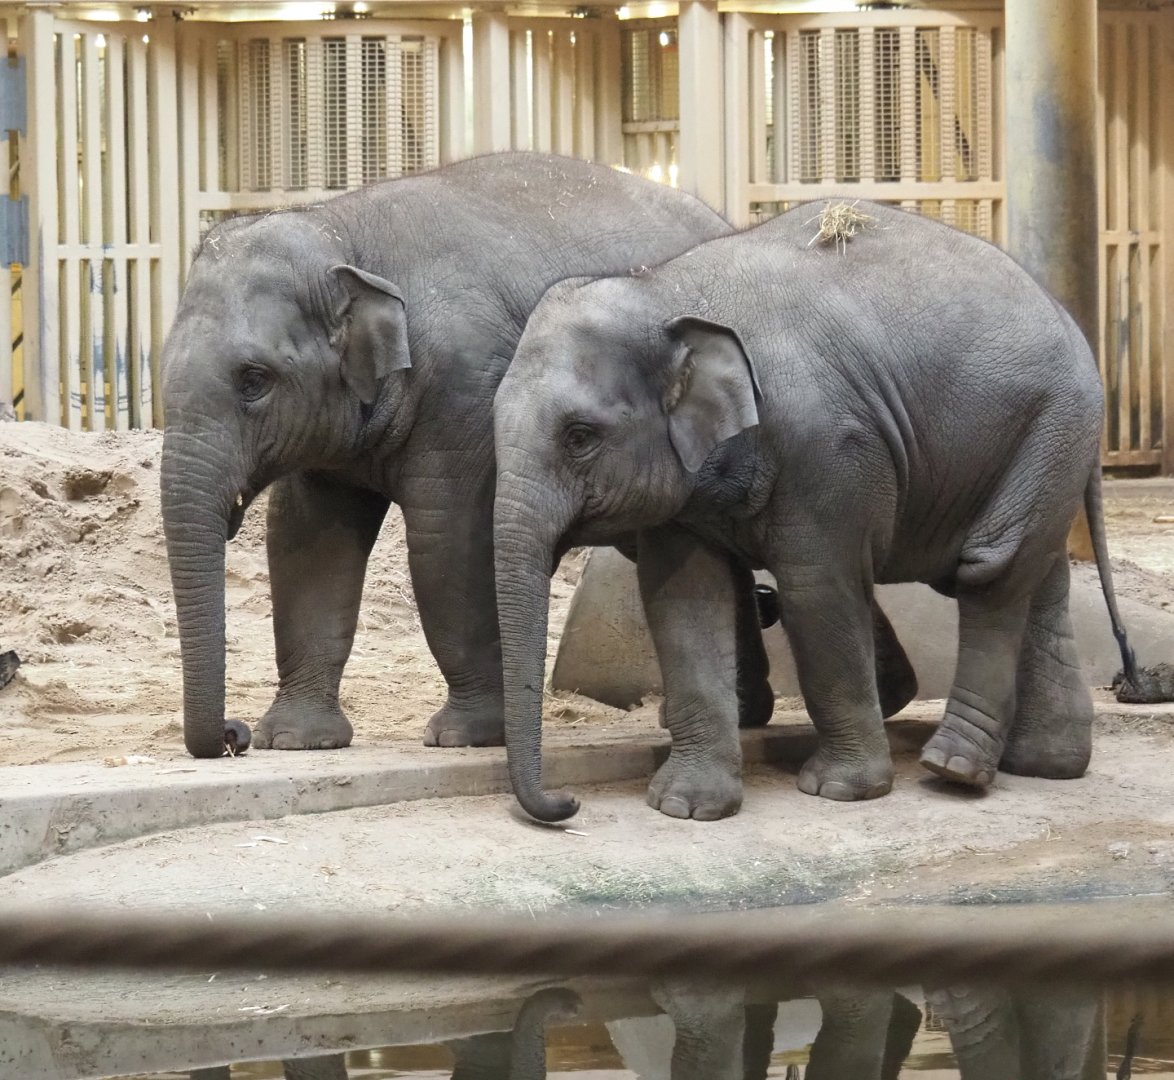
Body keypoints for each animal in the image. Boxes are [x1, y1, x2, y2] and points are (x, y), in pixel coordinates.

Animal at [492, 198, 1141, 822]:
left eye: (580, 436)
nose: (568, 803)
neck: (665, 287)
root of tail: (1066, 316)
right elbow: (684, 598)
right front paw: (686, 807)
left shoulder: (828, 446)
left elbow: (816, 588)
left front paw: (840, 790)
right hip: (1044, 445)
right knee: (1039, 576)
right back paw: (1043, 765)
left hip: (1054, 424)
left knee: (991, 571)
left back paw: (954, 770)